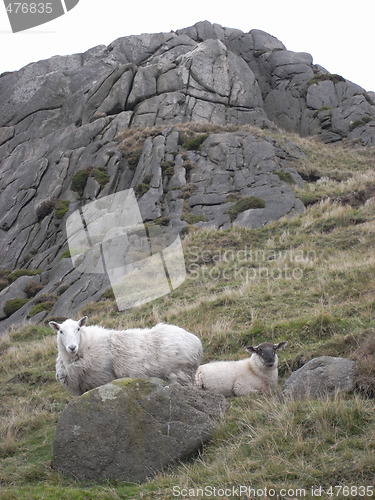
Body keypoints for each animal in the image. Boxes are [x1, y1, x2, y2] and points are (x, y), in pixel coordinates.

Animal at [50, 316, 204, 394]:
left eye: (78, 328)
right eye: (61, 331)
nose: (72, 347)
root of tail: (195, 340)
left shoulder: (102, 380)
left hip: (180, 374)